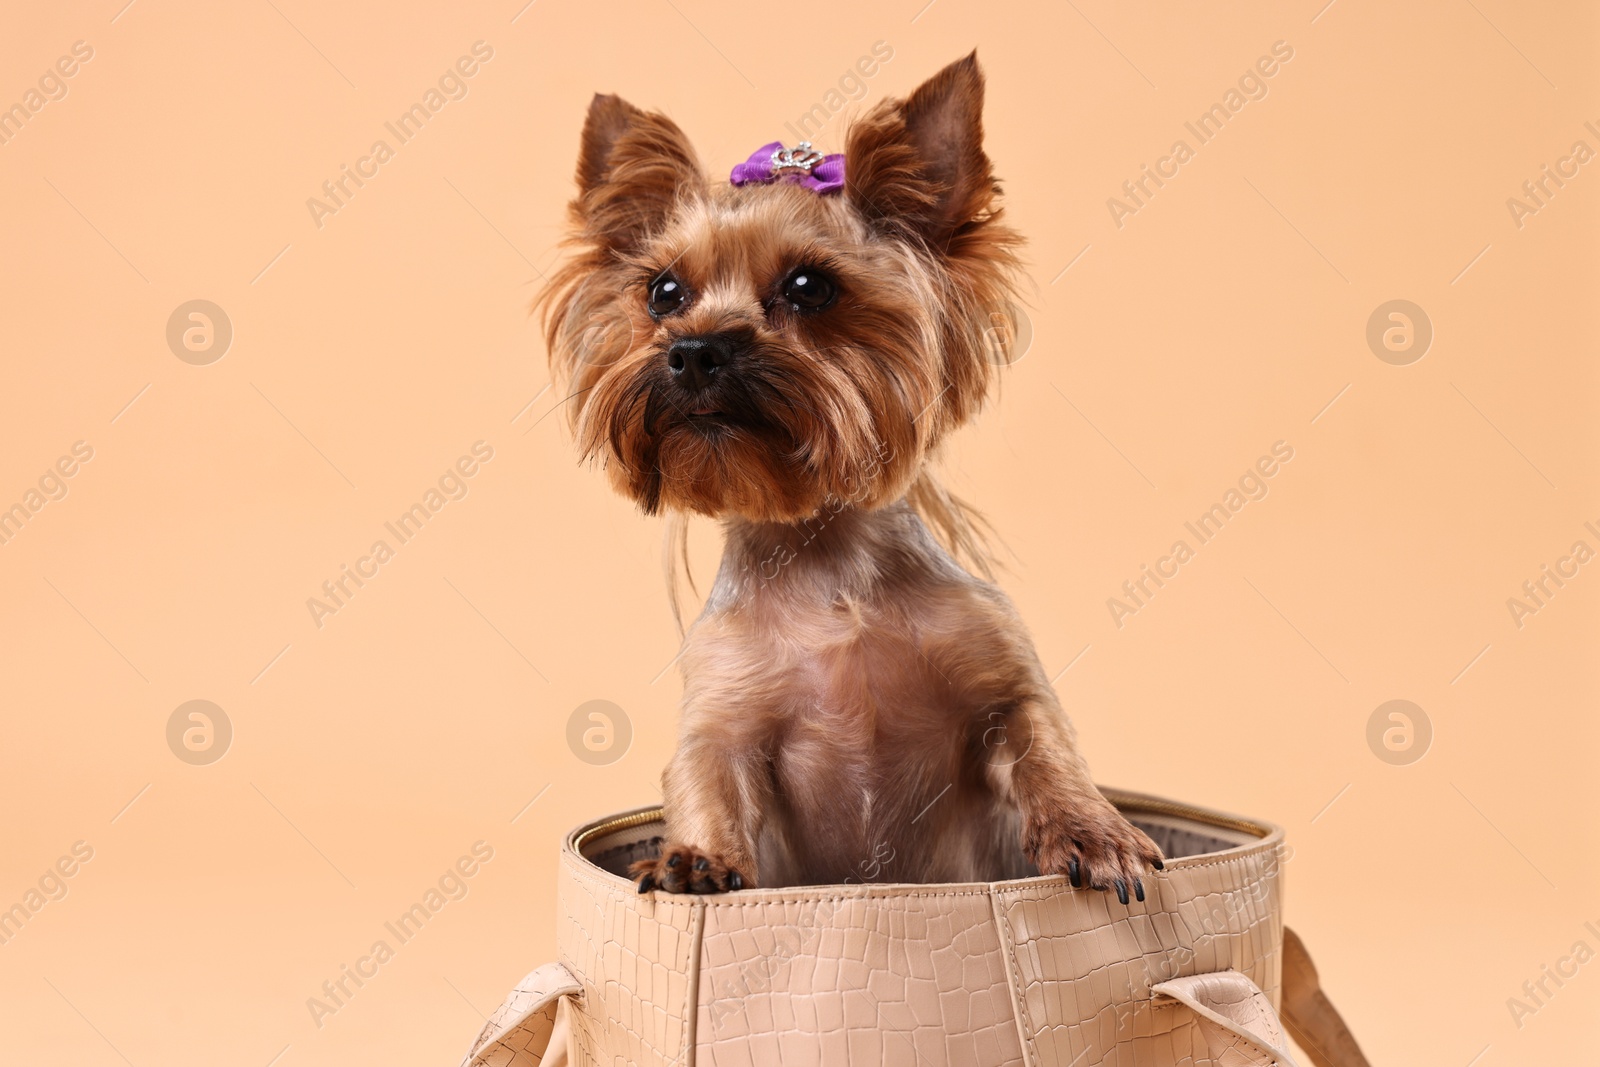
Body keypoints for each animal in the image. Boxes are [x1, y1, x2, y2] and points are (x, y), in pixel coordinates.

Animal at [544, 49, 1158, 902]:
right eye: (663, 291)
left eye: (810, 287)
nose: (694, 349)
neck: (821, 553)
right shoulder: (724, 715)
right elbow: (704, 776)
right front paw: (692, 858)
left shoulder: (1003, 681)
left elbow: (1045, 742)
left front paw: (1096, 832)